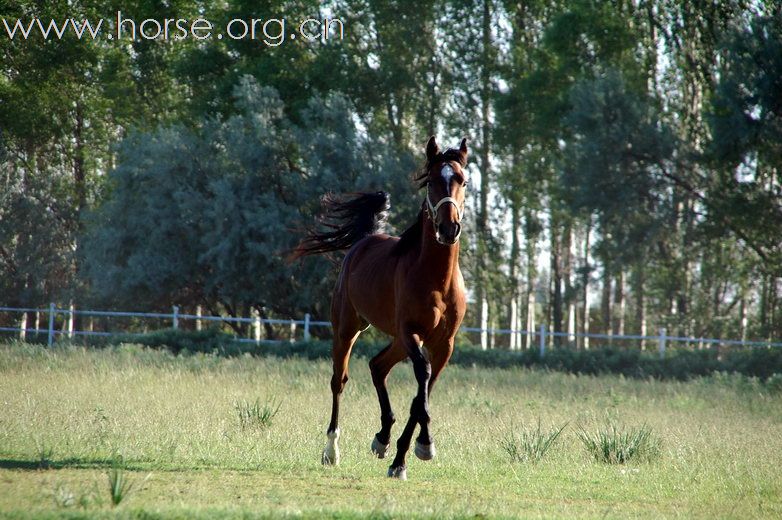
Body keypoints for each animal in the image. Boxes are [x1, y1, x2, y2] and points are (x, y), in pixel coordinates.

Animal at [292, 135, 466, 480]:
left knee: (377, 366)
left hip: (396, 341)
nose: (448, 228)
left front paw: (405, 456)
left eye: (462, 180)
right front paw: (420, 447)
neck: (437, 280)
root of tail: (365, 241)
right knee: (339, 381)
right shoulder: (412, 334)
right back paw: (331, 451)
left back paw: (382, 438)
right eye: (431, 182)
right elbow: (422, 377)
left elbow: (422, 395)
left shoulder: (444, 345)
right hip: (348, 329)